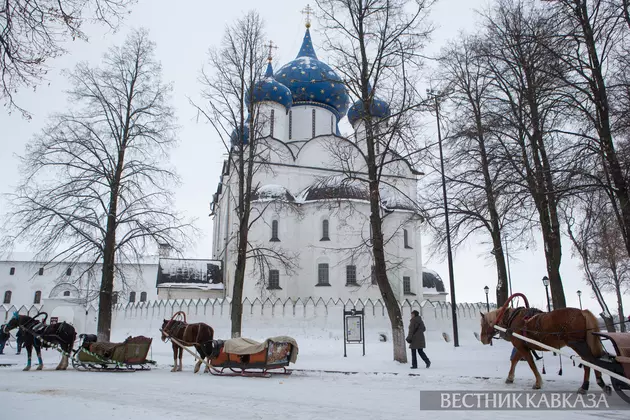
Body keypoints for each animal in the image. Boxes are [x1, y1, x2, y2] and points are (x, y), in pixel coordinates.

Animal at [478, 306, 612, 394]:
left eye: (482, 324)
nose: (482, 339)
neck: (511, 318)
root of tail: (582, 312)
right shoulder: (522, 346)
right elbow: (515, 360)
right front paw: (510, 378)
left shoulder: (521, 346)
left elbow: (531, 364)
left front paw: (538, 383)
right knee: (589, 361)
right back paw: (597, 384)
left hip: (577, 343)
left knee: (588, 361)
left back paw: (587, 386)